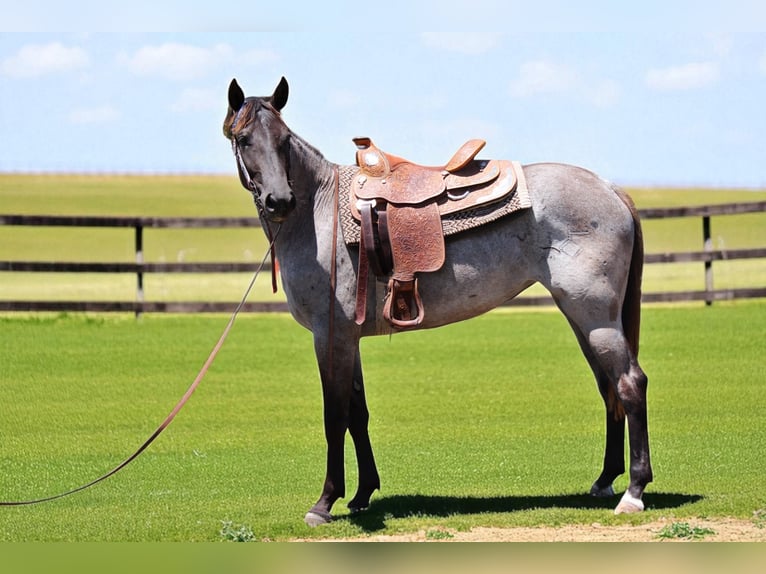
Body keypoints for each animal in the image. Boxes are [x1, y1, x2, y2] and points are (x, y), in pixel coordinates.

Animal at [223, 77, 652, 526]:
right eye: (245, 139)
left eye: (284, 139)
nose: (280, 201)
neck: (319, 214)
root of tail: (609, 188)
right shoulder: (348, 340)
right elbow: (358, 414)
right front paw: (362, 493)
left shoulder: (330, 336)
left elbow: (335, 416)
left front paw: (325, 502)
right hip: (583, 318)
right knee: (608, 387)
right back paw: (605, 480)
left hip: (595, 317)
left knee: (630, 384)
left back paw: (634, 492)